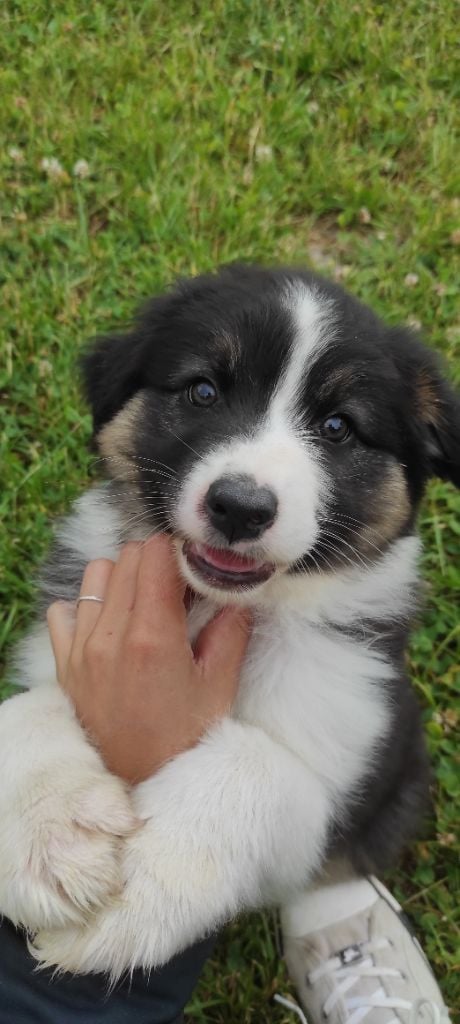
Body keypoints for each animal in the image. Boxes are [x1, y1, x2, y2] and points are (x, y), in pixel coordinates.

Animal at [1, 264, 456, 974]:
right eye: (203, 390)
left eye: (338, 428)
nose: (240, 507)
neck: (217, 602)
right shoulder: (66, 635)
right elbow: (24, 708)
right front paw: (50, 835)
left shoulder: (338, 762)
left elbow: (259, 763)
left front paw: (139, 893)